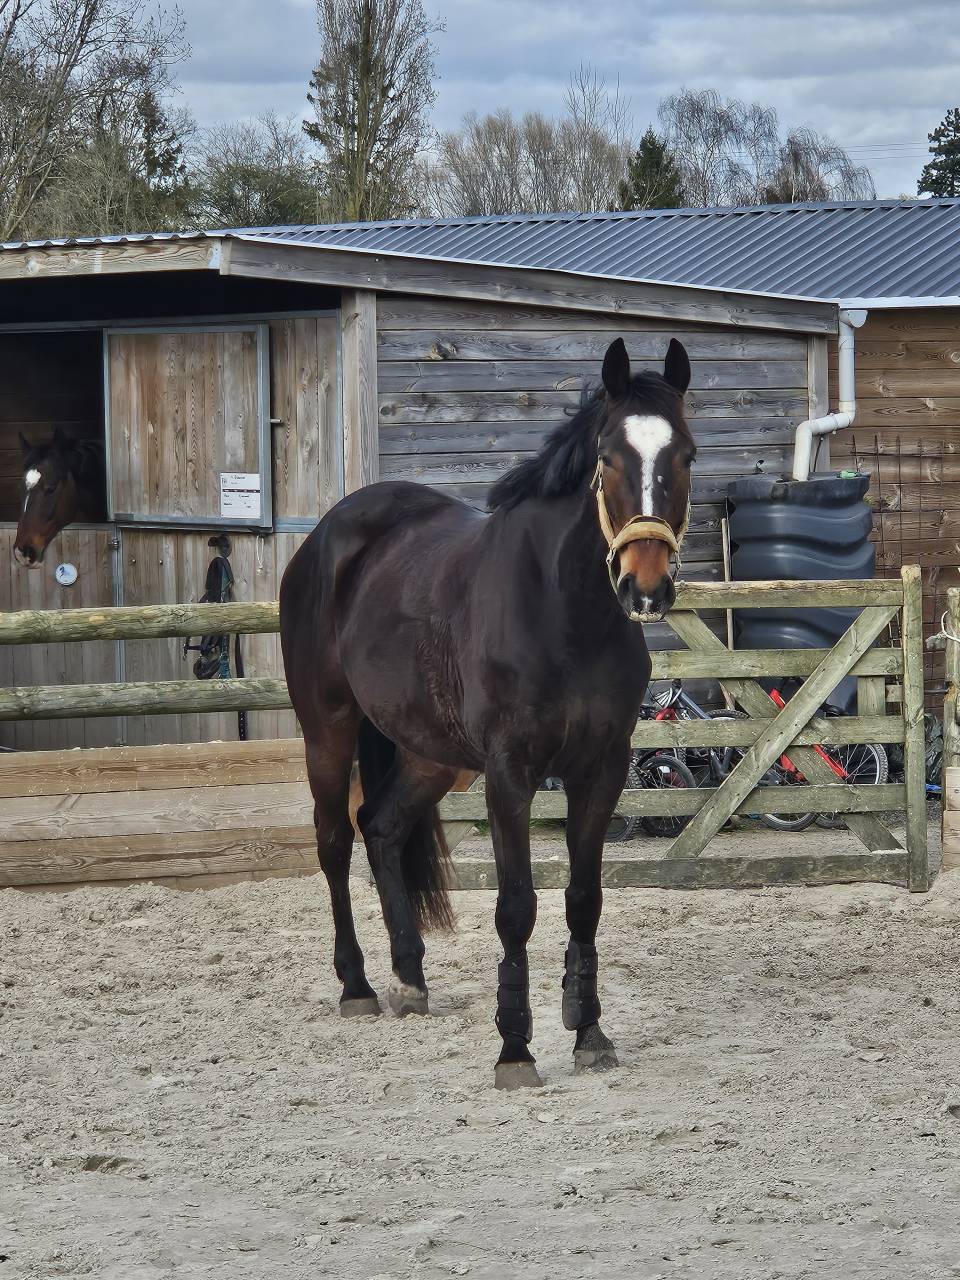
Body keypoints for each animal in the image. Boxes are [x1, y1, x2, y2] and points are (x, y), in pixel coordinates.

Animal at [279, 337, 695, 1089]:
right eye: (608, 457)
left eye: (685, 455)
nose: (645, 585)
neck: (564, 613)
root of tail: (329, 536)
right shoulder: (509, 774)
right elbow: (517, 906)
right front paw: (515, 1048)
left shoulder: (602, 769)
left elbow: (583, 899)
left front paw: (588, 1030)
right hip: (327, 730)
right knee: (334, 841)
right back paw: (357, 986)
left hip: (428, 754)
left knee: (380, 827)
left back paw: (410, 977)